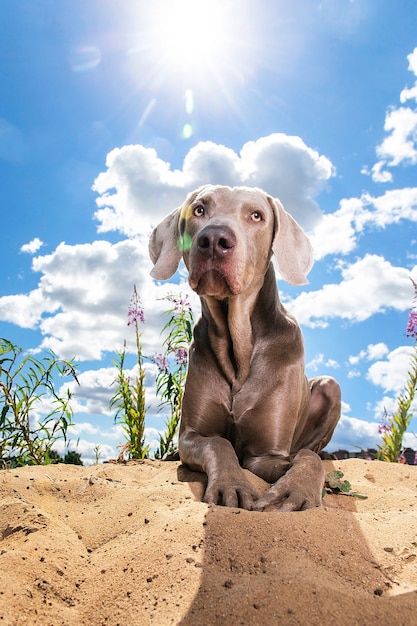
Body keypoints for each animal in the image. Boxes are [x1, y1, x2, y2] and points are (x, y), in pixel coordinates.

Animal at [148, 184, 340, 508]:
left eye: (256, 215)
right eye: (199, 209)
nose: (214, 240)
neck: (238, 350)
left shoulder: (267, 454)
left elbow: (305, 458)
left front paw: (296, 489)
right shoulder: (191, 435)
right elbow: (218, 442)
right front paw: (232, 485)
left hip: (330, 385)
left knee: (312, 448)